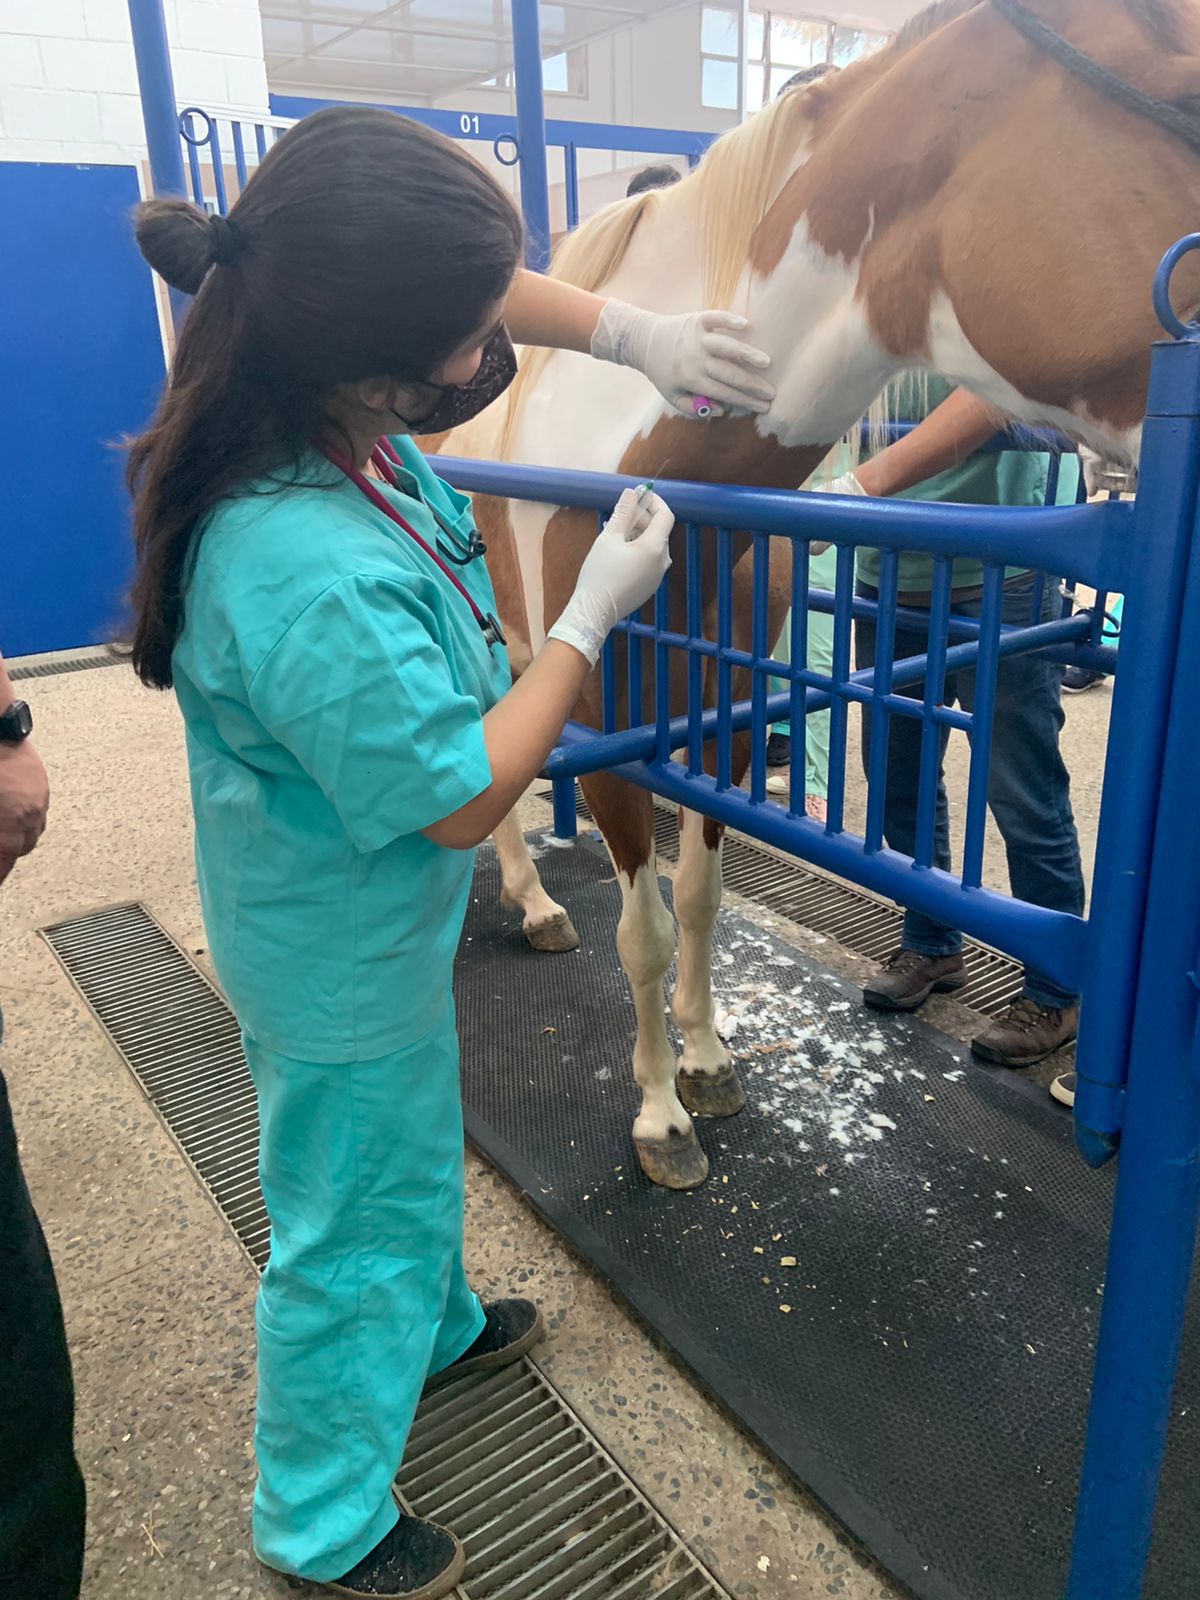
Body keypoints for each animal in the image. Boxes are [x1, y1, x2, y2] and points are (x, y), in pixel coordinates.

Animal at [444, 0, 1200, 1190]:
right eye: (1187, 95)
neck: (649, 470)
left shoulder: (723, 727)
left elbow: (699, 904)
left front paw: (709, 1063)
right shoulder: (606, 735)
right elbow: (642, 934)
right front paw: (661, 1118)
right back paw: (532, 901)